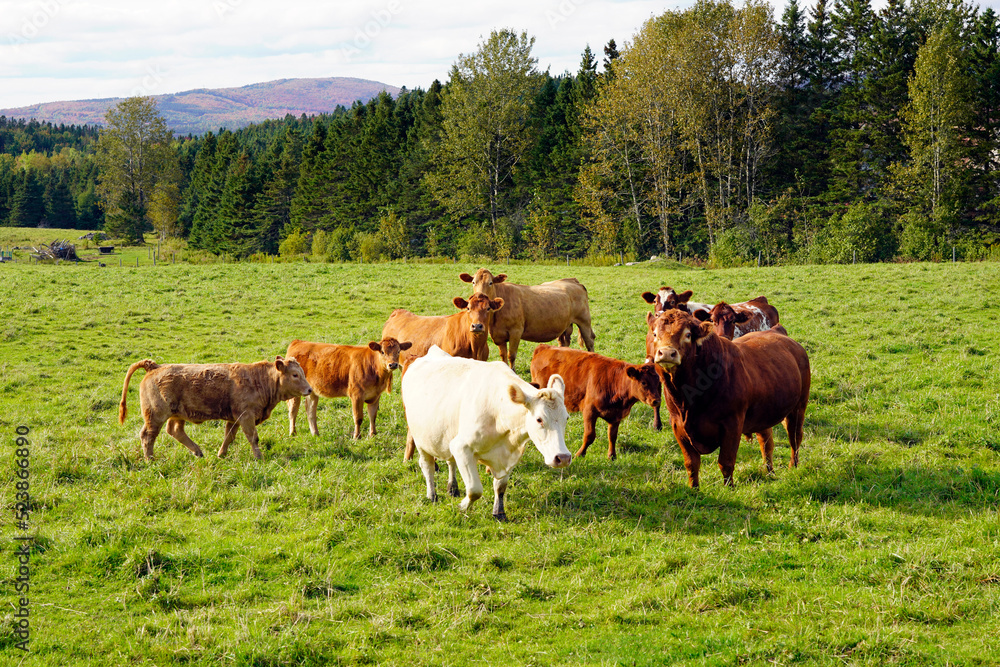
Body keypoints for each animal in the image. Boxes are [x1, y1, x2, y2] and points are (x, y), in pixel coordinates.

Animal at [118, 358, 310, 462]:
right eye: (295, 374)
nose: (309, 389)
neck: (259, 380)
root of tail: (154, 366)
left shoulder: (234, 418)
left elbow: (229, 437)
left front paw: (221, 454)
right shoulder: (246, 416)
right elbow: (253, 438)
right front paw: (259, 457)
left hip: (177, 414)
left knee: (175, 430)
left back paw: (197, 451)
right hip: (155, 415)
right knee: (148, 436)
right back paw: (150, 460)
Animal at [400, 348, 572, 524]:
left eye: (566, 418)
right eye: (539, 419)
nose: (563, 458)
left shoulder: (508, 456)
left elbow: (500, 487)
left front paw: (499, 512)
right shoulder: (462, 447)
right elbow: (475, 489)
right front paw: (462, 507)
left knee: (450, 462)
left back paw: (452, 487)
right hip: (421, 440)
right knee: (427, 466)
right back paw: (432, 495)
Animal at [460, 268, 592, 370]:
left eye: (491, 282)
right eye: (473, 282)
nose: (479, 296)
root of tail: (572, 280)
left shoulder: (516, 331)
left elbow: (511, 355)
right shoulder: (498, 335)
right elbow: (503, 356)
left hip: (584, 320)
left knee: (589, 340)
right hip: (565, 325)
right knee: (564, 342)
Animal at [528, 344, 660, 460]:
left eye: (659, 382)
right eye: (644, 382)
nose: (657, 401)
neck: (614, 382)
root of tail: (544, 347)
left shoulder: (616, 415)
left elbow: (612, 436)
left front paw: (612, 456)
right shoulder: (589, 411)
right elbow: (590, 435)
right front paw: (580, 454)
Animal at [648, 310, 812, 488]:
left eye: (688, 334)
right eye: (655, 334)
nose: (666, 353)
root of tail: (777, 331)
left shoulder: (732, 425)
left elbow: (725, 462)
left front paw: (729, 488)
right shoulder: (677, 425)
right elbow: (691, 463)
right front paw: (694, 489)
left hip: (798, 407)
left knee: (795, 438)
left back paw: (793, 466)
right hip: (764, 412)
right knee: (766, 442)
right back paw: (770, 472)